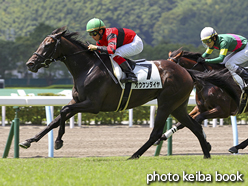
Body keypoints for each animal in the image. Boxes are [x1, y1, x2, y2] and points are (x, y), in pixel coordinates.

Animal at [18, 27, 239, 158]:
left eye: (48, 44)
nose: (30, 64)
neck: (87, 68)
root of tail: (186, 71)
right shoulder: (78, 102)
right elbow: (56, 119)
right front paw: (28, 141)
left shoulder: (93, 105)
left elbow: (63, 111)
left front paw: (58, 142)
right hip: (178, 106)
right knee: (194, 125)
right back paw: (206, 153)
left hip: (166, 103)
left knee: (157, 132)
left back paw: (134, 155)